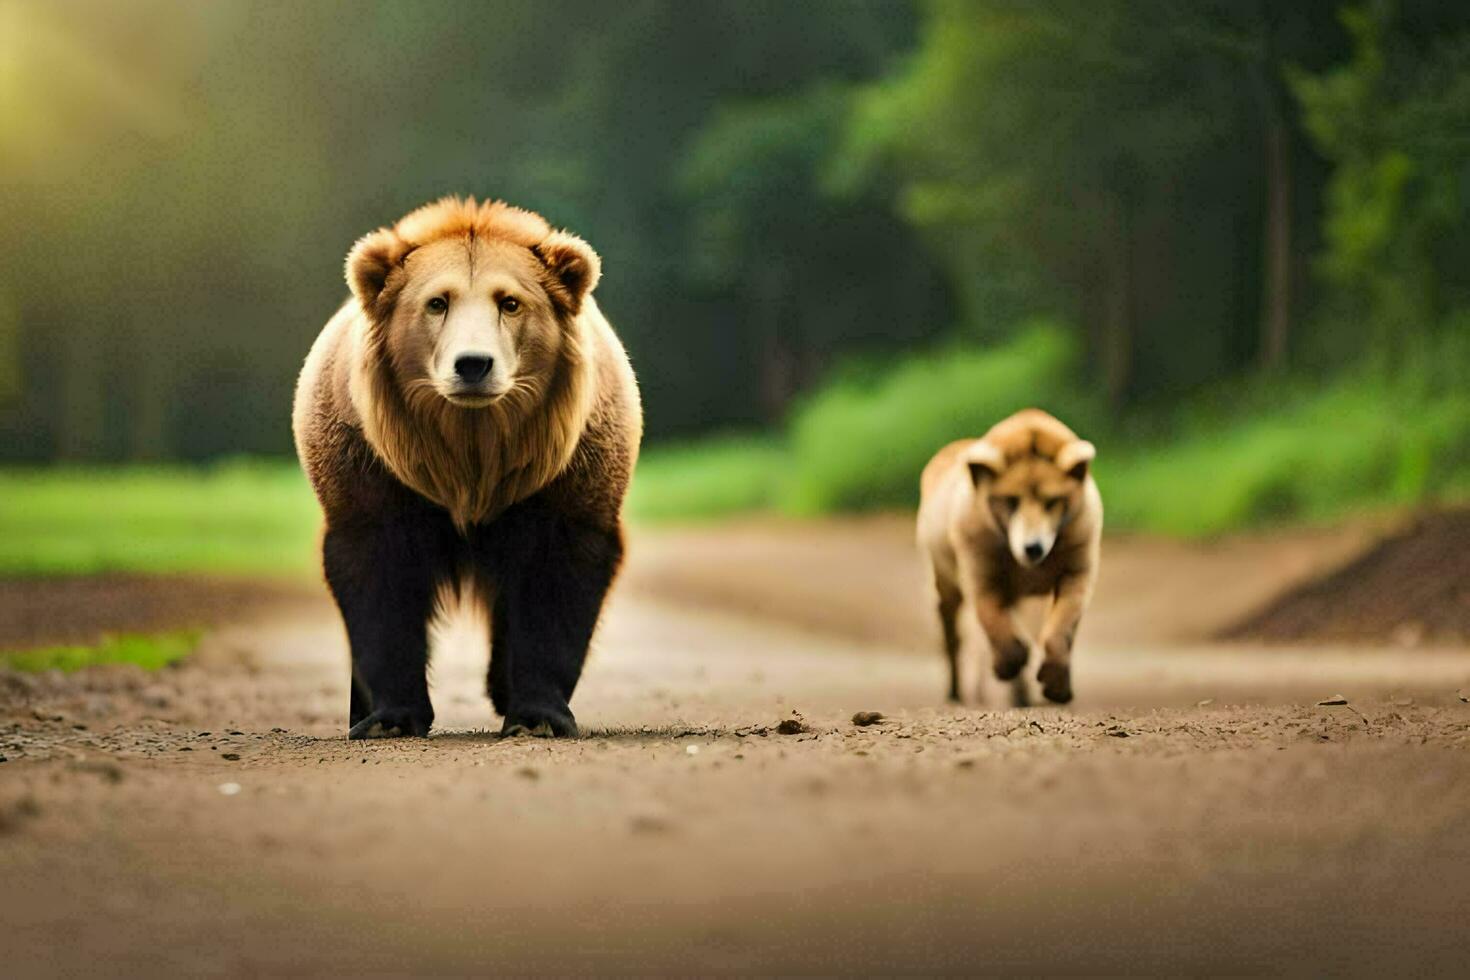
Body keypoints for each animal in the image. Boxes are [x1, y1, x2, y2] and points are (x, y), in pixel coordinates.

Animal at [294, 195, 643, 740]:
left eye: (510, 302)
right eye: (437, 301)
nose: (473, 364)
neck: (470, 456)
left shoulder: (565, 474)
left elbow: (556, 579)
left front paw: (538, 715)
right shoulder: (374, 471)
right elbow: (380, 578)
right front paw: (391, 716)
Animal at [917, 408, 1105, 705]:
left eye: (1052, 501)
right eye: (1010, 500)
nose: (1033, 547)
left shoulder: (1078, 560)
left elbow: (1063, 623)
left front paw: (1057, 686)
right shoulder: (978, 560)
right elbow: (991, 617)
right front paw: (1007, 666)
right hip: (942, 579)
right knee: (951, 631)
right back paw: (956, 691)